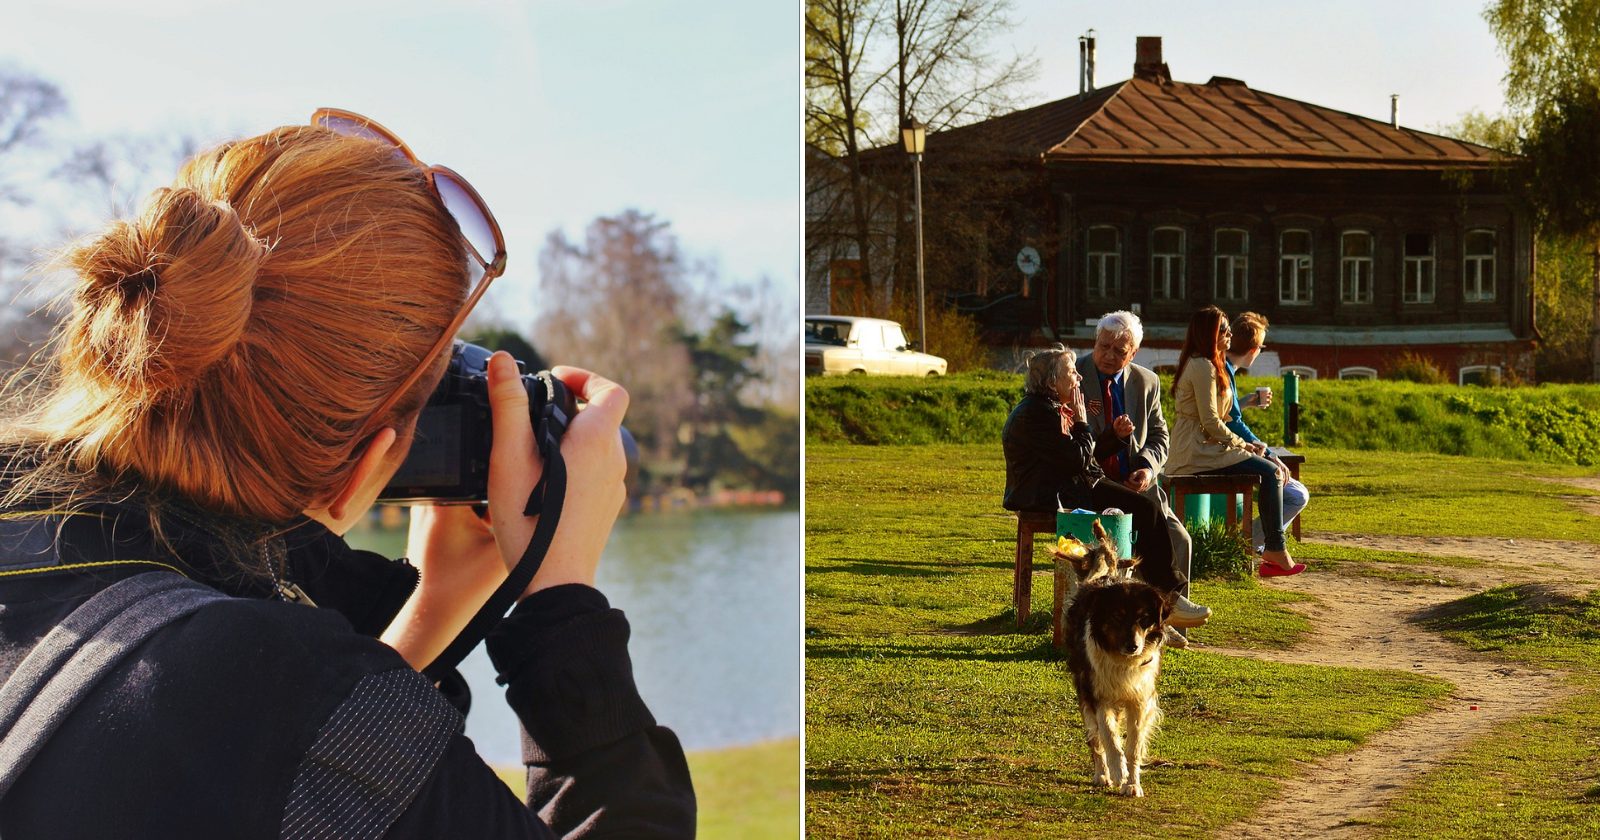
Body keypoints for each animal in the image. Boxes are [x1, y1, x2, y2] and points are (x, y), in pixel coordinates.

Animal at [1062, 521, 1177, 796]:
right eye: (1116, 617)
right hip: (1084, 691)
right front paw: (1117, 772)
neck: (1121, 659)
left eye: (1144, 619)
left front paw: (1133, 783)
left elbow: (1133, 746)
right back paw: (1101, 775)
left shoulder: (1139, 698)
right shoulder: (1098, 694)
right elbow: (1109, 738)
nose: (1133, 646)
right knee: (1094, 740)